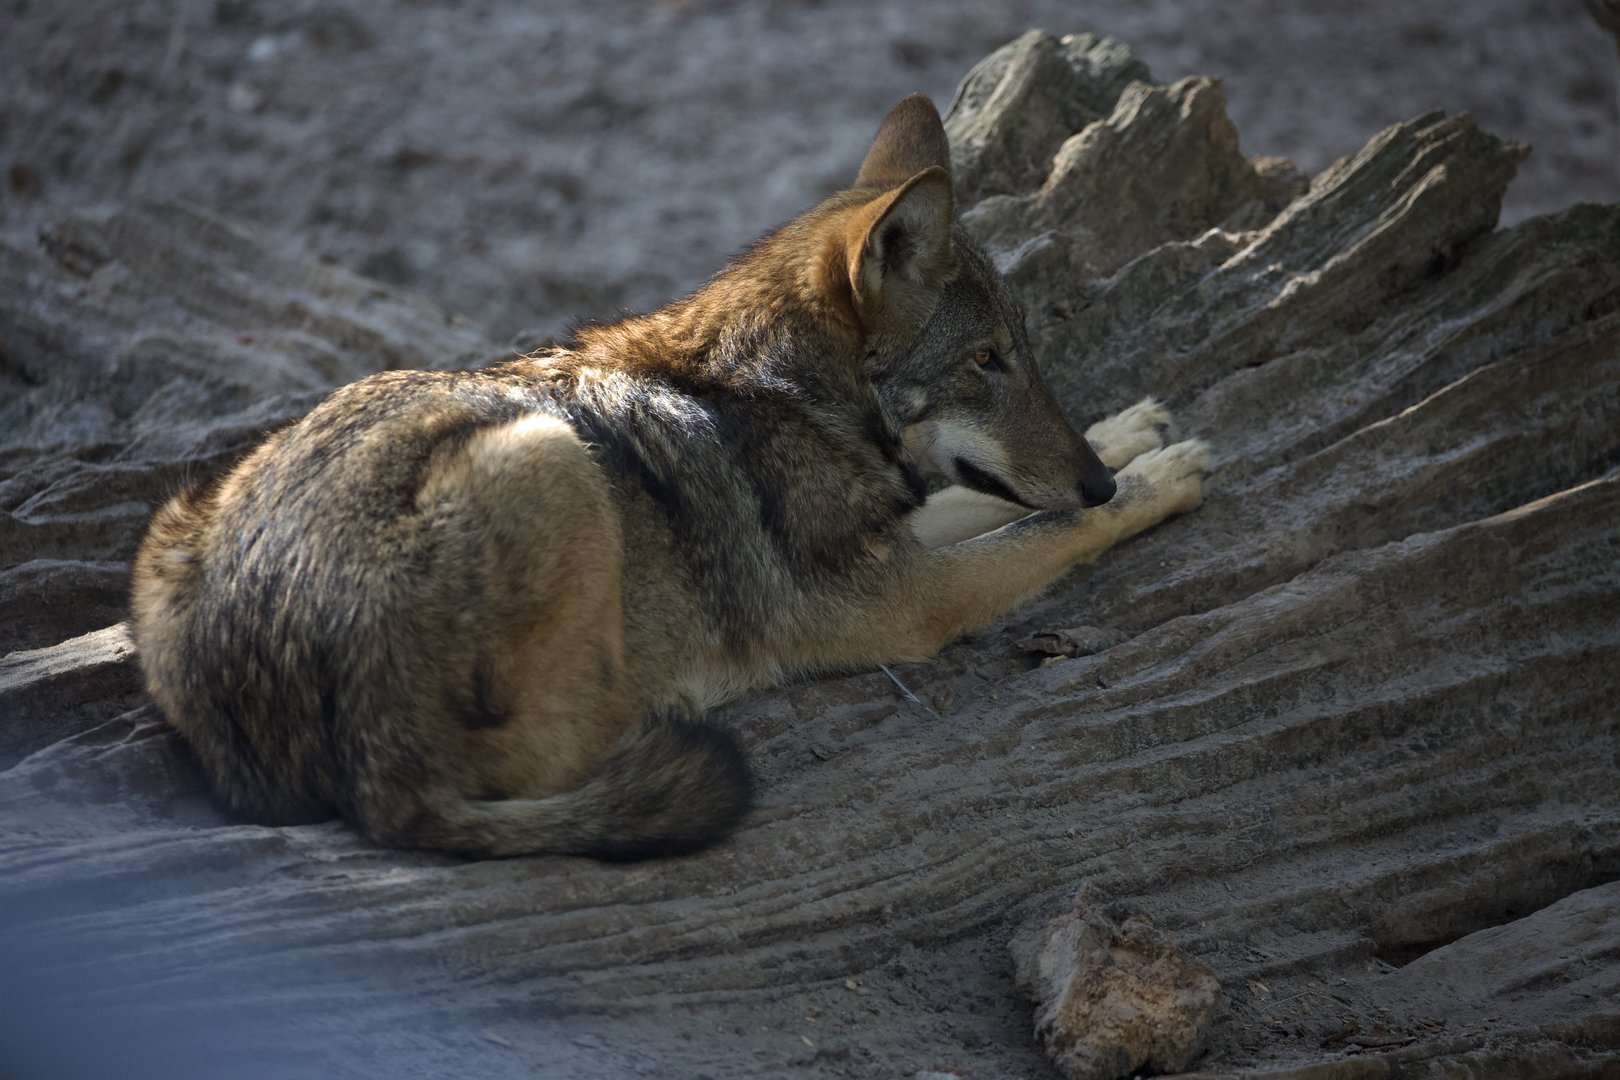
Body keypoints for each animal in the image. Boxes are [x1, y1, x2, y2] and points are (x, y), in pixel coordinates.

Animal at [130, 95, 1209, 861]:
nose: (1095, 480)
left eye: (1019, 351)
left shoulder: (888, 548)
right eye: (988, 361)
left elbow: (970, 502)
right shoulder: (902, 604)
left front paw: (1131, 431)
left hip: (171, 531)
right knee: (550, 757)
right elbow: (1044, 532)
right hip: (546, 457)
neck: (781, 395)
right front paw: (1159, 476)